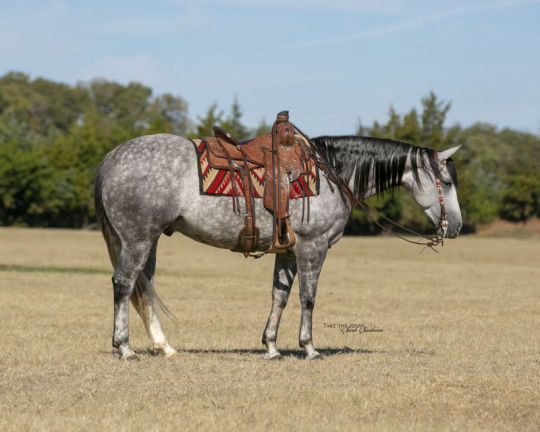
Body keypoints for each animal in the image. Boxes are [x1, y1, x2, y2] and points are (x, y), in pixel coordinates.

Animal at [95, 132, 462, 360]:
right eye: (445, 182)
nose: (456, 227)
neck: (331, 173)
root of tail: (113, 156)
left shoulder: (286, 252)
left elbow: (279, 297)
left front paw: (271, 346)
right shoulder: (313, 247)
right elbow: (308, 298)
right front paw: (309, 347)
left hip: (149, 240)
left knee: (144, 288)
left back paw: (164, 346)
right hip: (137, 239)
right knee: (124, 284)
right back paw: (125, 348)